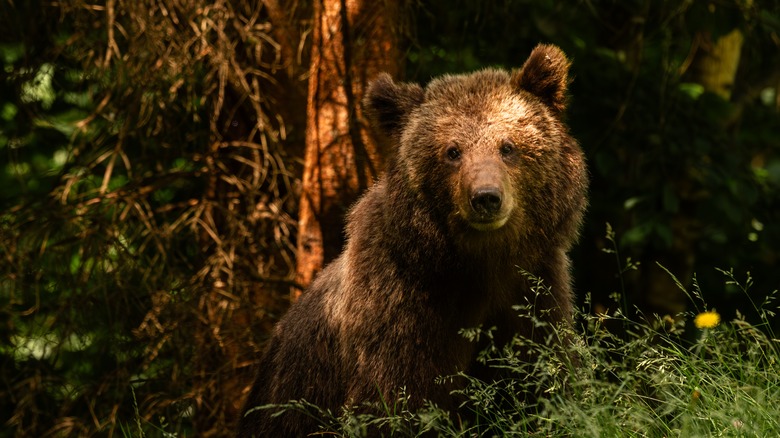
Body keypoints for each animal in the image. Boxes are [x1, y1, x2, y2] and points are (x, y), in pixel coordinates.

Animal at [241, 42, 588, 436]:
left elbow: (543, 377)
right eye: (452, 151)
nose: (486, 197)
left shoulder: (534, 287)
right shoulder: (402, 304)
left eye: (508, 146)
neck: (481, 263)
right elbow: (396, 400)